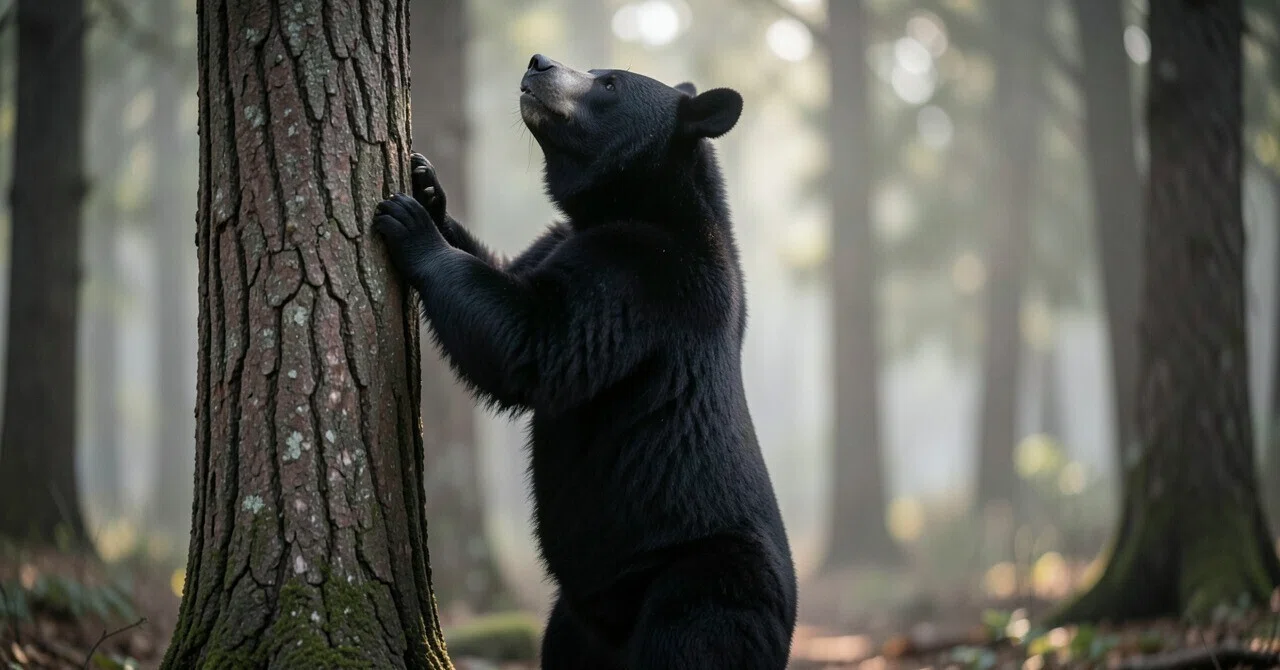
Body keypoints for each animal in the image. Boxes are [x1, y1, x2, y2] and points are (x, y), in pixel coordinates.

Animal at [372, 53, 797, 669]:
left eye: (610, 83)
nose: (538, 62)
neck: (639, 203)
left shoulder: (648, 275)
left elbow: (536, 341)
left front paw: (411, 225)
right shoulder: (559, 238)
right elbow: (508, 272)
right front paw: (427, 186)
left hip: (702, 581)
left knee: (690, 643)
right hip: (573, 621)